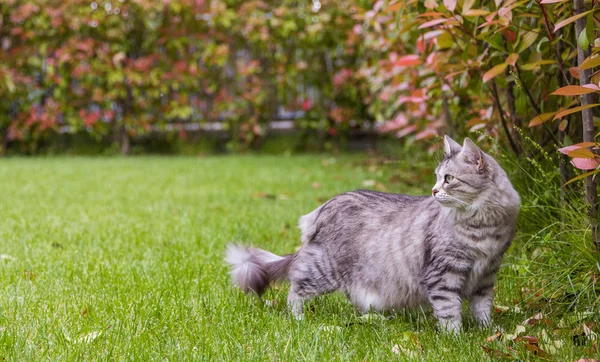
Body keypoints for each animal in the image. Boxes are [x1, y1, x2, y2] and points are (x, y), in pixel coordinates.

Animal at [225, 136, 520, 334]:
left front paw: (488, 333)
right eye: (438, 178)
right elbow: (449, 312)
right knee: (295, 288)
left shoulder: (487, 275)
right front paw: (455, 339)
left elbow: (483, 310)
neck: (484, 227)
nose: (434, 191)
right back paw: (298, 320)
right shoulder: (444, 274)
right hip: (324, 270)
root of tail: (323, 208)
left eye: (448, 179)